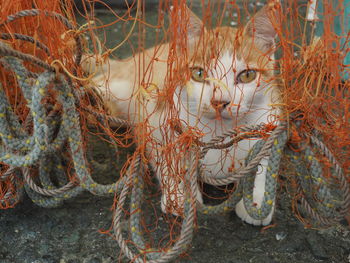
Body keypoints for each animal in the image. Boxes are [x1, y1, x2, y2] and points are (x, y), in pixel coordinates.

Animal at [88, 3, 282, 227]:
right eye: (198, 73)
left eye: (247, 75)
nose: (219, 101)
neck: (219, 131)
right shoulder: (155, 118)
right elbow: (167, 157)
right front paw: (178, 195)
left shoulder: (271, 119)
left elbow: (264, 160)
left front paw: (257, 203)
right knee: (97, 80)